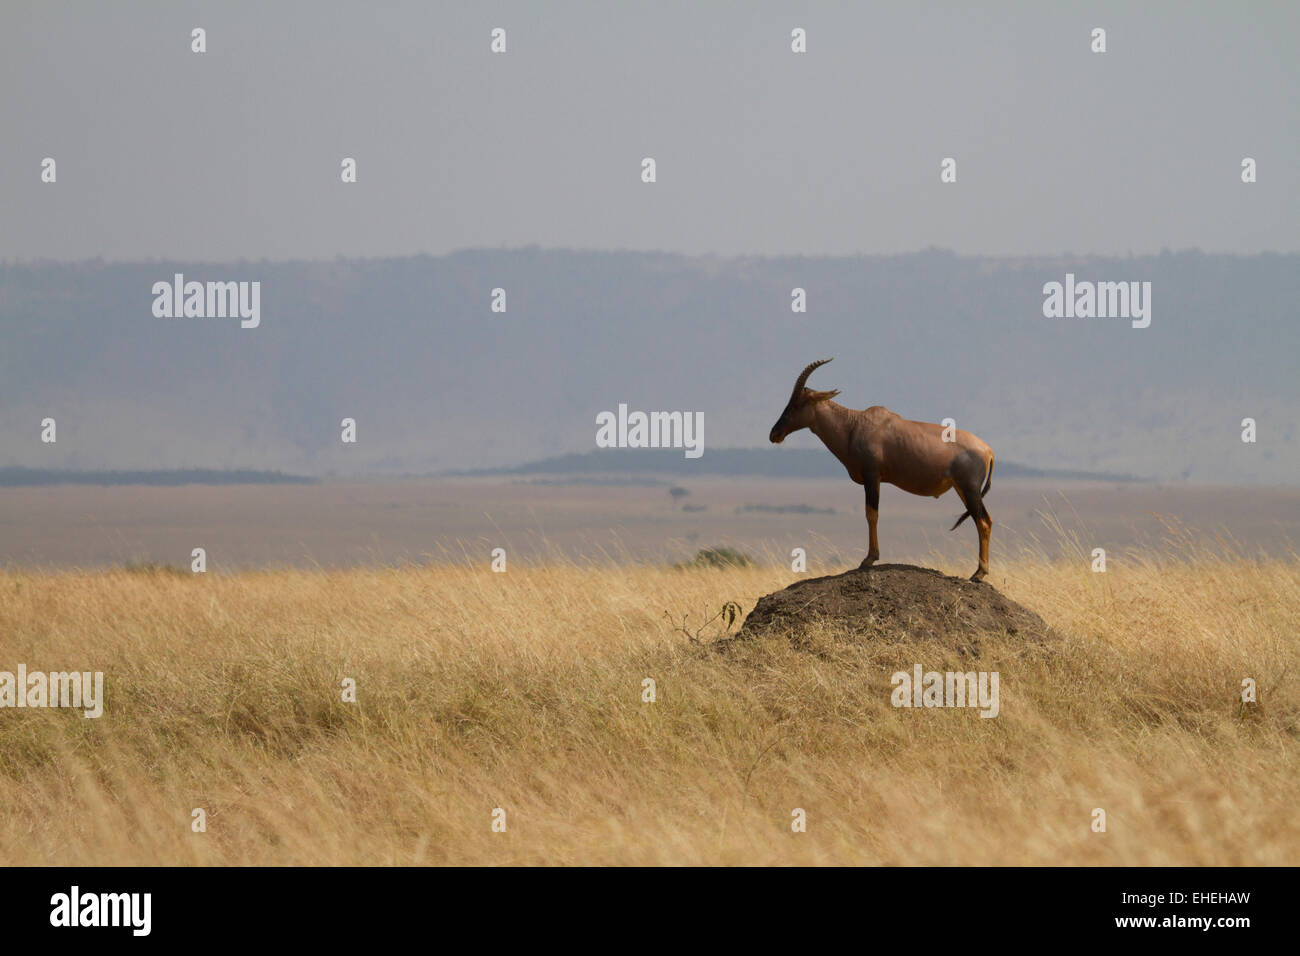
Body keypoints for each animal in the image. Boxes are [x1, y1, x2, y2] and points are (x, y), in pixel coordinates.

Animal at [764, 361, 998, 580]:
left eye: (798, 403)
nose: (774, 434)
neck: (855, 424)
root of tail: (988, 450)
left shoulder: (872, 476)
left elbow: (871, 514)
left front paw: (868, 559)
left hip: (970, 489)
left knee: (983, 522)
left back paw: (979, 574)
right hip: (962, 490)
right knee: (985, 520)